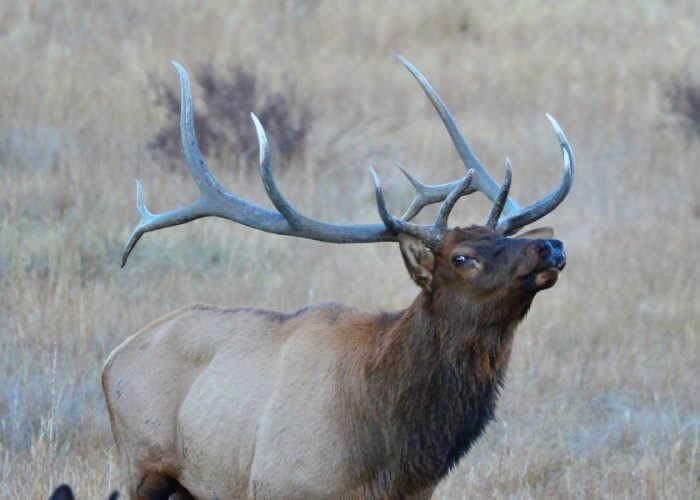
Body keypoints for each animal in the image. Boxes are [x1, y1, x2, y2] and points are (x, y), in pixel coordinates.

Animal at [103, 56, 574, 499]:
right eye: (462, 257)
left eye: (502, 237)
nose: (550, 246)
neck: (388, 456)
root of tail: (111, 361)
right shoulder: (280, 484)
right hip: (142, 467)